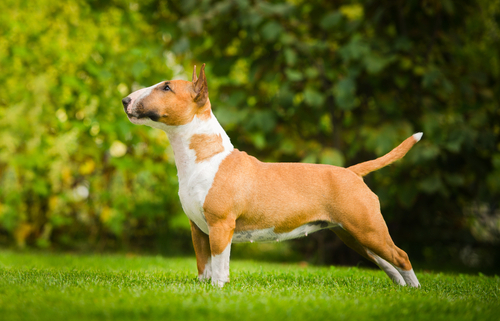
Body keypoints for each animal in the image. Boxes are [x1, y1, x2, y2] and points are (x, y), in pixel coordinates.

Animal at [122, 63, 422, 286]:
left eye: (166, 87)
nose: (125, 100)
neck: (205, 156)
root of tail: (351, 172)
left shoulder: (221, 225)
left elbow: (219, 265)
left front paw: (218, 290)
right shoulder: (198, 228)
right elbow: (203, 265)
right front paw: (203, 288)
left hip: (367, 228)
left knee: (402, 256)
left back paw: (415, 290)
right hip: (353, 234)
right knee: (386, 262)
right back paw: (400, 288)